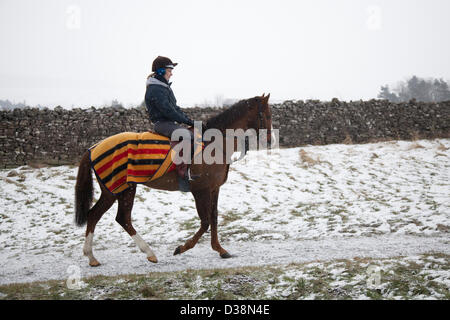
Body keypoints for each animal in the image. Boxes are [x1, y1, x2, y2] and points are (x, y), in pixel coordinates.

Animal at [73, 94, 274, 266]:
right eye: (267, 115)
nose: (271, 140)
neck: (214, 145)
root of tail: (93, 148)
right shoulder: (200, 191)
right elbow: (205, 222)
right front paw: (182, 248)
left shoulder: (214, 189)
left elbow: (214, 218)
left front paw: (220, 249)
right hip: (119, 190)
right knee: (115, 217)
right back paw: (141, 253)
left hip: (117, 191)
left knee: (105, 217)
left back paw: (96, 257)